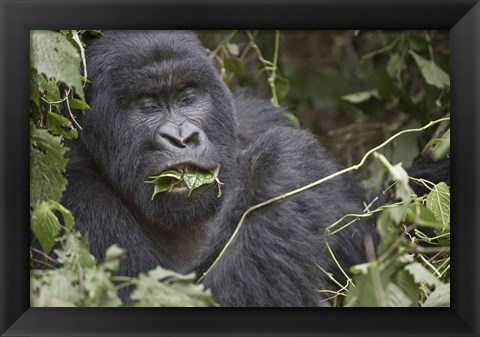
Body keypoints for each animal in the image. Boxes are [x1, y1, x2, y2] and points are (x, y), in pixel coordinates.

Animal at [62, 30, 378, 306]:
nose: (182, 137)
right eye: (148, 105)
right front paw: (279, 165)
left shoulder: (257, 116)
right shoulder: (77, 198)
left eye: (187, 97)